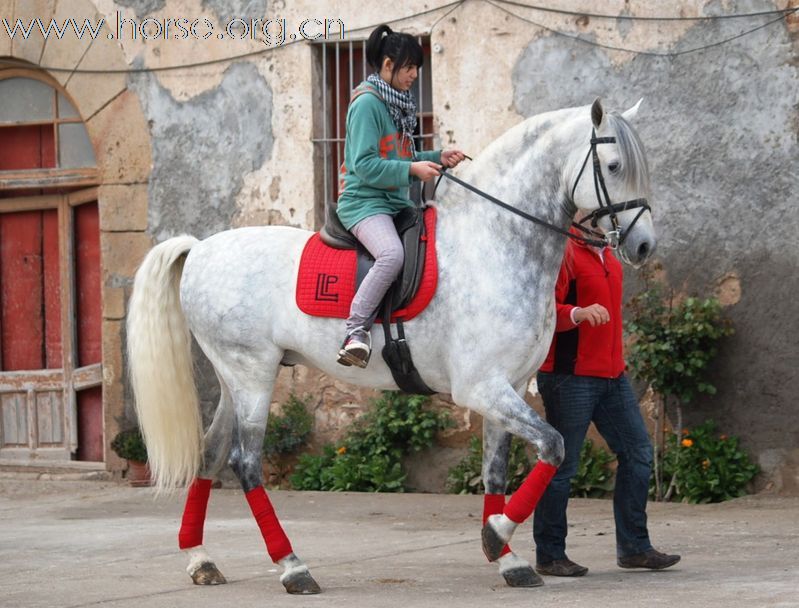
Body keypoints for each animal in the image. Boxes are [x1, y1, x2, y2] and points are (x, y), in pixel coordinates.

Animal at [128, 100, 656, 592]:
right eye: (613, 167)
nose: (644, 246)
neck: (494, 243)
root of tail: (201, 247)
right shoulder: (481, 389)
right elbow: (555, 445)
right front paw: (495, 537)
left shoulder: (508, 386)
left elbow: (498, 472)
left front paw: (509, 560)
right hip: (253, 375)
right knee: (246, 464)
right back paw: (293, 568)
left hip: (232, 376)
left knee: (211, 452)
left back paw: (200, 559)